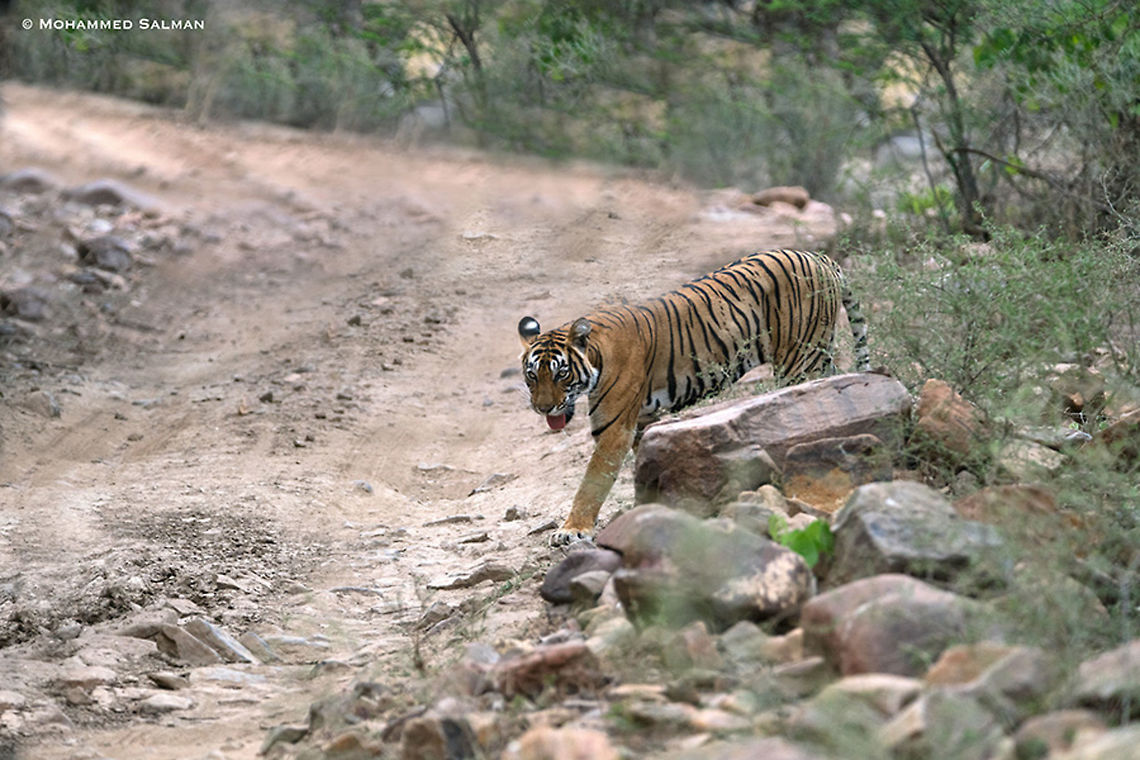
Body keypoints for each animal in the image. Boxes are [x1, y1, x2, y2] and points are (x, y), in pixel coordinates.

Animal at [518, 248, 870, 546]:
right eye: (532, 375)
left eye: (561, 373)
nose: (543, 408)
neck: (596, 356)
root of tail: (819, 256)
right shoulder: (642, 420)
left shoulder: (613, 429)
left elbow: (591, 483)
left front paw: (572, 530)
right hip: (817, 355)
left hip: (800, 359)